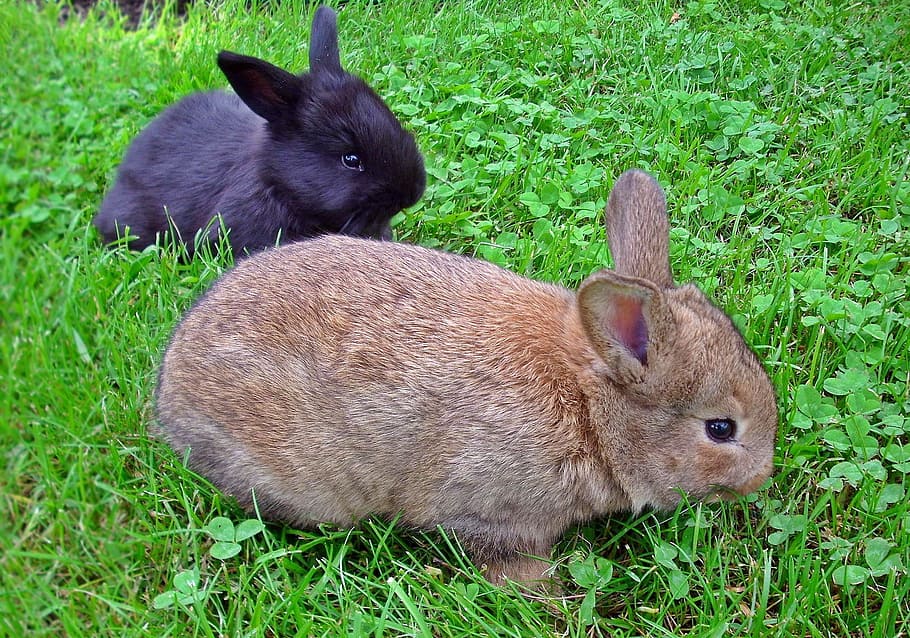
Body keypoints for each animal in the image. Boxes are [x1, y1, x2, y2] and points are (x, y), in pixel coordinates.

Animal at [155, 170, 778, 586]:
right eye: (721, 429)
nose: (761, 478)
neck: (591, 409)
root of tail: (168, 393)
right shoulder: (486, 512)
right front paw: (546, 593)